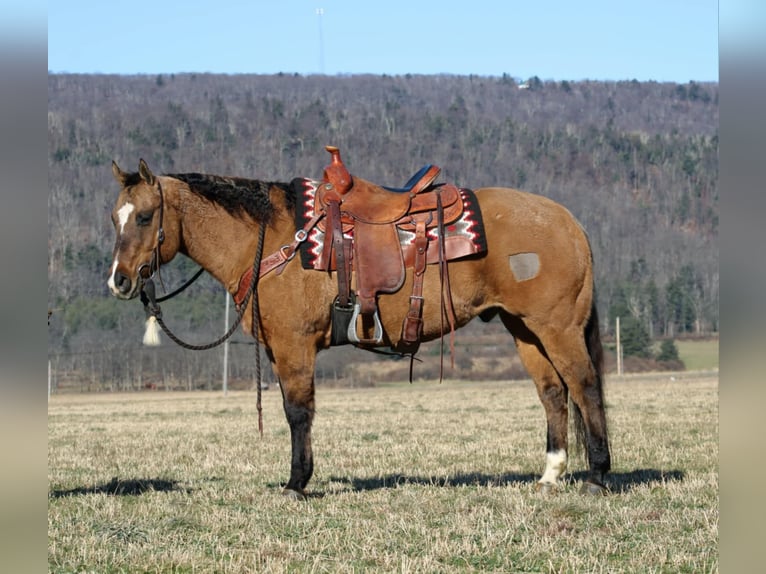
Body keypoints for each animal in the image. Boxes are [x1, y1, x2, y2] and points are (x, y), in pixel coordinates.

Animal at [106, 147, 612, 500]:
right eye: (115, 217)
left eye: (146, 217)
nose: (119, 280)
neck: (272, 239)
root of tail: (569, 222)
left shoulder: (294, 345)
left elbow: (297, 411)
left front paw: (296, 483)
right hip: (523, 329)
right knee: (553, 393)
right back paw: (550, 475)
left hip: (557, 327)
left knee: (584, 385)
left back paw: (598, 476)